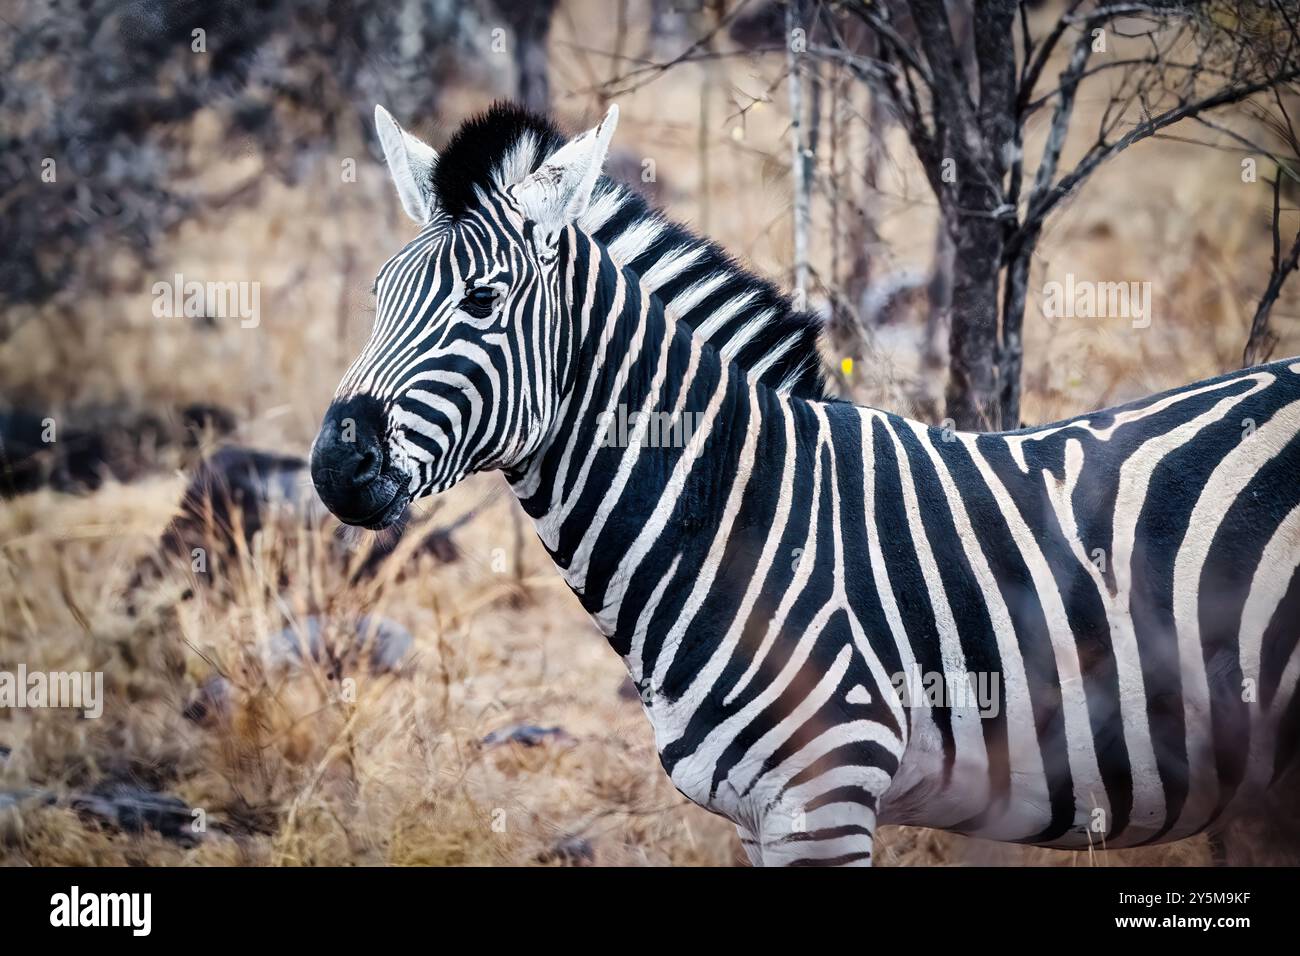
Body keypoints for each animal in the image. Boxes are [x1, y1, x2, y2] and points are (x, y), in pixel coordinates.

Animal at [310, 102, 1300, 866]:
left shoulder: (824, 801)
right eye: (376, 295)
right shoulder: (760, 818)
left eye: (481, 300)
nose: (331, 464)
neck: (737, 521)